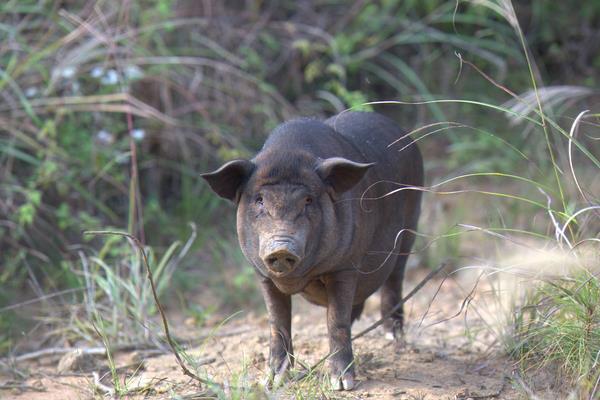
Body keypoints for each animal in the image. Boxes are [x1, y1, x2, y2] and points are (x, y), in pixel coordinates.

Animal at [202, 110, 422, 390]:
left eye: (307, 200)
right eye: (259, 200)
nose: (281, 246)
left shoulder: (345, 266)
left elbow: (336, 321)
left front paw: (342, 384)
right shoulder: (263, 275)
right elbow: (278, 323)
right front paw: (272, 381)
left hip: (410, 227)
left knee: (395, 278)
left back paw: (394, 337)